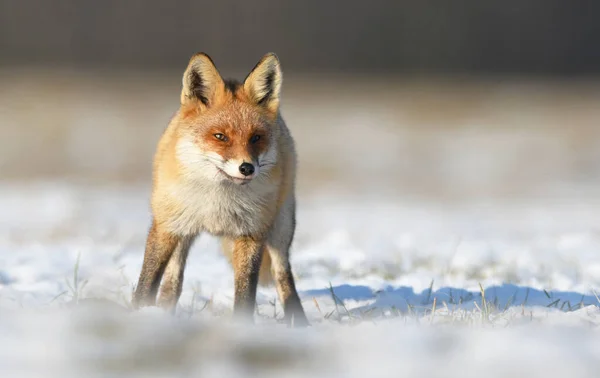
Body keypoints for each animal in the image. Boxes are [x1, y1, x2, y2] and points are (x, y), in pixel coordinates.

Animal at [132, 53, 310, 328]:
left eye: (256, 138)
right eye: (220, 136)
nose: (247, 168)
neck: (217, 204)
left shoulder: (251, 234)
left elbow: (246, 294)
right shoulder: (166, 227)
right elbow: (146, 284)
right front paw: (138, 315)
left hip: (280, 229)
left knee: (284, 278)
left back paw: (301, 323)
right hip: (183, 235)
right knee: (172, 284)